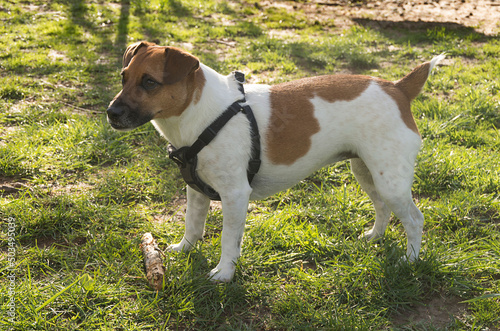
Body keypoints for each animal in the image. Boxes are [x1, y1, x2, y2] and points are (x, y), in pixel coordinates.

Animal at [107, 41, 444, 282]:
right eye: (123, 78)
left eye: (150, 82)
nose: (111, 113)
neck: (203, 116)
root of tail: (398, 88)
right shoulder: (196, 190)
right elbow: (192, 224)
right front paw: (184, 250)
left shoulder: (235, 196)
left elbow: (228, 240)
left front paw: (224, 273)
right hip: (367, 172)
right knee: (383, 208)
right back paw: (374, 237)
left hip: (391, 182)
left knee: (415, 220)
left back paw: (410, 260)